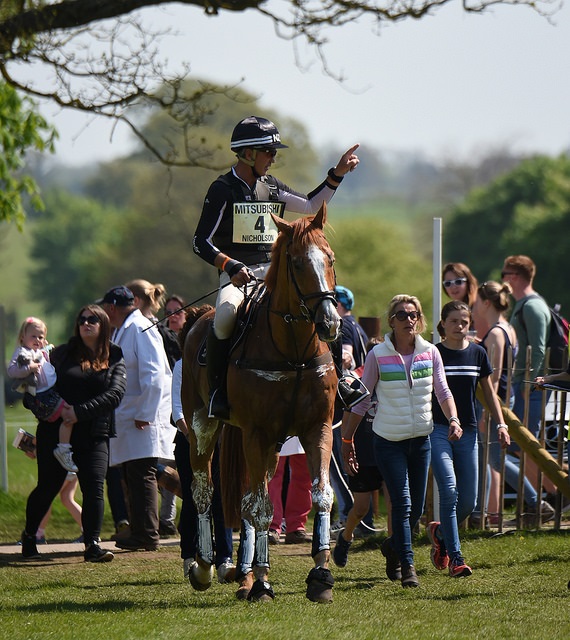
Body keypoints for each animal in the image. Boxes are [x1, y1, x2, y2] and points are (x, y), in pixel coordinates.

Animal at [182, 204, 340, 600]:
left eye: (329, 258)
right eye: (296, 263)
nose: (329, 323)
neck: (293, 352)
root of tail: (195, 322)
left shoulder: (318, 428)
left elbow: (321, 495)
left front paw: (321, 574)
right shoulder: (256, 433)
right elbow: (263, 510)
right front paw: (264, 581)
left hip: (270, 446)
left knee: (245, 499)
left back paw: (244, 574)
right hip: (203, 429)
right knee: (205, 492)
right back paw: (205, 566)